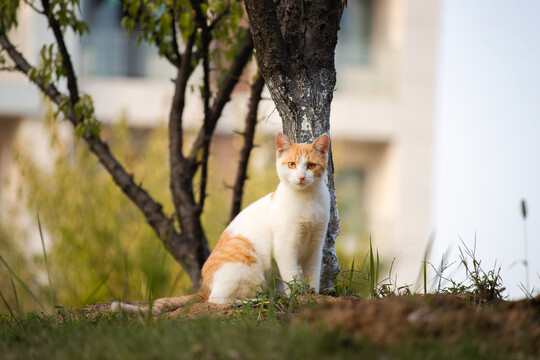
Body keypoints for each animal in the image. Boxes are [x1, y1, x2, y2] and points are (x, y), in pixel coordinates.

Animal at [110, 133, 332, 316]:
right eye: (292, 165)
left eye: (310, 165)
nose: (301, 177)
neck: (306, 200)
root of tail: (203, 286)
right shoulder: (285, 248)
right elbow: (292, 275)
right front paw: (297, 295)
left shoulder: (316, 245)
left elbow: (313, 274)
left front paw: (313, 295)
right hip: (248, 265)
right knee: (218, 300)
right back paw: (257, 300)